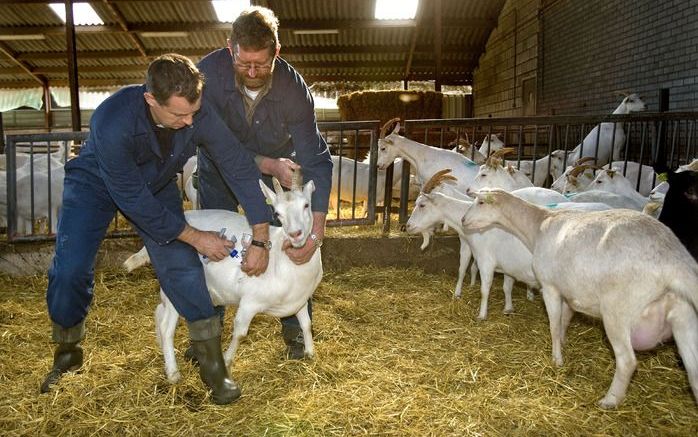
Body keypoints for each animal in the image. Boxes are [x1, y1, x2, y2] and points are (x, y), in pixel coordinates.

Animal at [122, 175, 320, 380]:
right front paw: (227, 360)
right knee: (166, 326)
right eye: (278, 213)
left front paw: (311, 353)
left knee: (159, 311)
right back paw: (173, 372)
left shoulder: (299, 300)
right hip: (175, 282)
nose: (295, 234)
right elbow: (240, 333)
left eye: (306, 205)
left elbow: (306, 324)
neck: (281, 261)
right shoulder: (250, 302)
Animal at [462, 188, 696, 408]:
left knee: (627, 361)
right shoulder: (568, 292)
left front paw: (557, 359)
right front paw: (563, 344)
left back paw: (610, 400)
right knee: (693, 371)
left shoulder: (550, 287)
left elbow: (554, 325)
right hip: (684, 317)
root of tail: (674, 262)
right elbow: (564, 321)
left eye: (481, 202)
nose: (464, 220)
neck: (538, 226)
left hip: (618, 311)